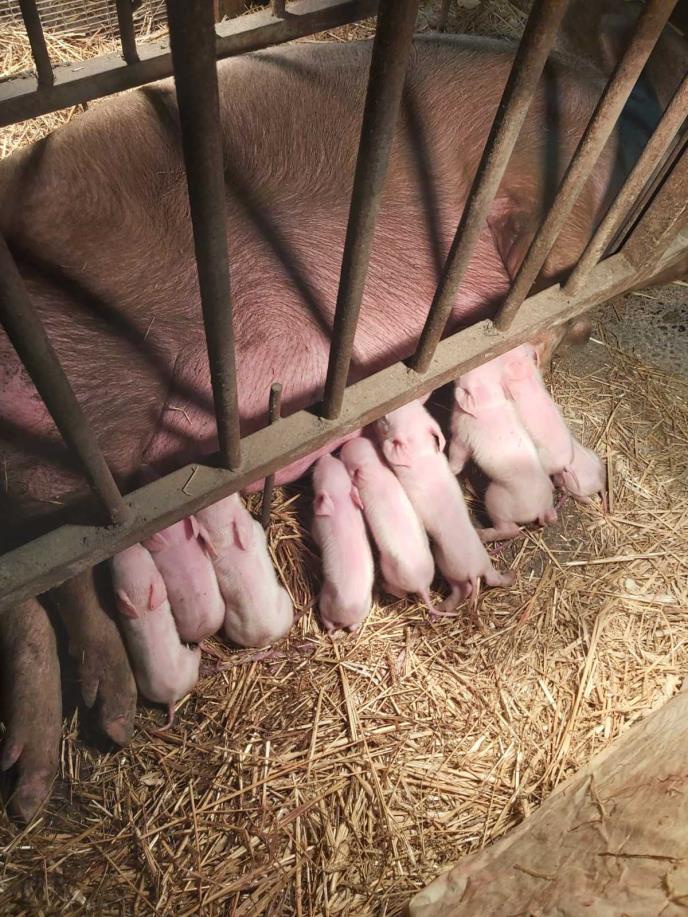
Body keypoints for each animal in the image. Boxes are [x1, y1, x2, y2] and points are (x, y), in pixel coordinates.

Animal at [110, 544, 201, 728]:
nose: (130, 546)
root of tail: (171, 697)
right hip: (190, 664)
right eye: (146, 555)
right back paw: (200, 648)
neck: (141, 604)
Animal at [311, 455, 375, 633]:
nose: (325, 455)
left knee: (327, 621)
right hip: (365, 608)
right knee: (353, 628)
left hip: (325, 600)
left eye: (318, 475)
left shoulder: (317, 527)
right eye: (340, 465)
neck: (340, 499)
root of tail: (347, 614)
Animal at [339, 436, 438, 612]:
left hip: (390, 571)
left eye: (344, 459)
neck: (373, 467)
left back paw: (383, 586)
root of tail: (420, 583)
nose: (342, 446)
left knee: (399, 593)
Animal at [376, 401, 515, 611]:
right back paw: (511, 577)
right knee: (493, 579)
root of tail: (475, 570)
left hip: (447, 565)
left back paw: (442, 606)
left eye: (386, 421)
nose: (383, 414)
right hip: (484, 565)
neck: (421, 452)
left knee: (463, 589)